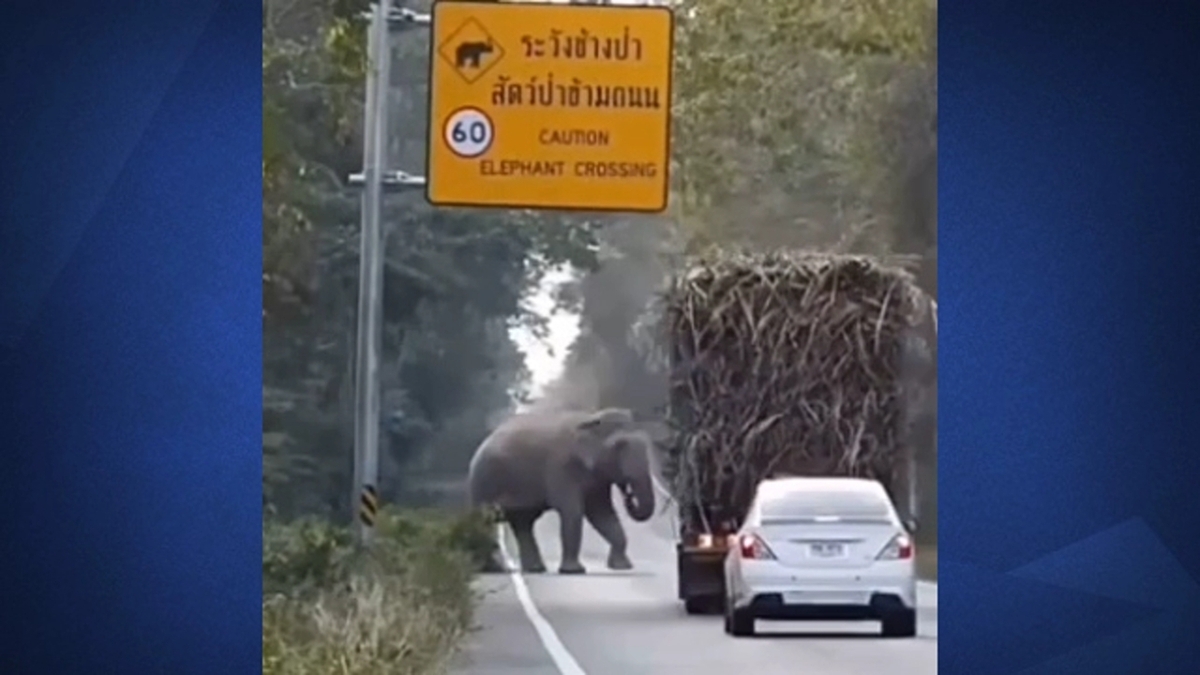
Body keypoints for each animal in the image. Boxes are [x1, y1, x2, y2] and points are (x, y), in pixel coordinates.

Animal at [465, 403, 657, 571]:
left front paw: (622, 567)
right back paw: (491, 568)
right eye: (619, 446)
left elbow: (603, 514)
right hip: (484, 481)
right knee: (487, 521)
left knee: (523, 523)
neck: (590, 419)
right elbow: (573, 512)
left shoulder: (596, 479)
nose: (628, 494)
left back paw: (534, 569)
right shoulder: (561, 467)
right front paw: (574, 571)